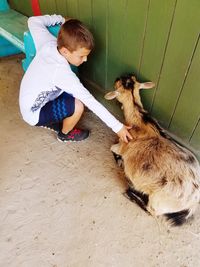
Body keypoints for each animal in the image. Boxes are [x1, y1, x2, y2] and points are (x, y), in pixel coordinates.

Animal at [104, 74, 200, 227]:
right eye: (129, 79)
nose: (118, 77)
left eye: (118, 83)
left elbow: (112, 148)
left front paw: (120, 162)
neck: (140, 120)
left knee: (152, 211)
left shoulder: (122, 146)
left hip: (159, 200)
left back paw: (131, 191)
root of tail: (194, 202)